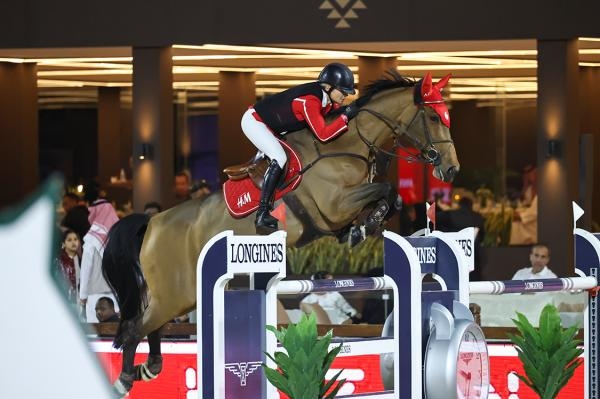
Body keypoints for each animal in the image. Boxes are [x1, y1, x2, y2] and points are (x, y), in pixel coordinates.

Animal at [102, 70, 460, 396]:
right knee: (136, 329)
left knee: (150, 326)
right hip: (178, 292)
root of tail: (153, 223)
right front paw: (363, 227)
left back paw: (148, 368)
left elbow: (391, 197)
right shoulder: (334, 205)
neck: (345, 144)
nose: (451, 169)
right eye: (432, 116)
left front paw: (362, 228)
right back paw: (124, 379)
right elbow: (386, 190)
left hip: (177, 296)